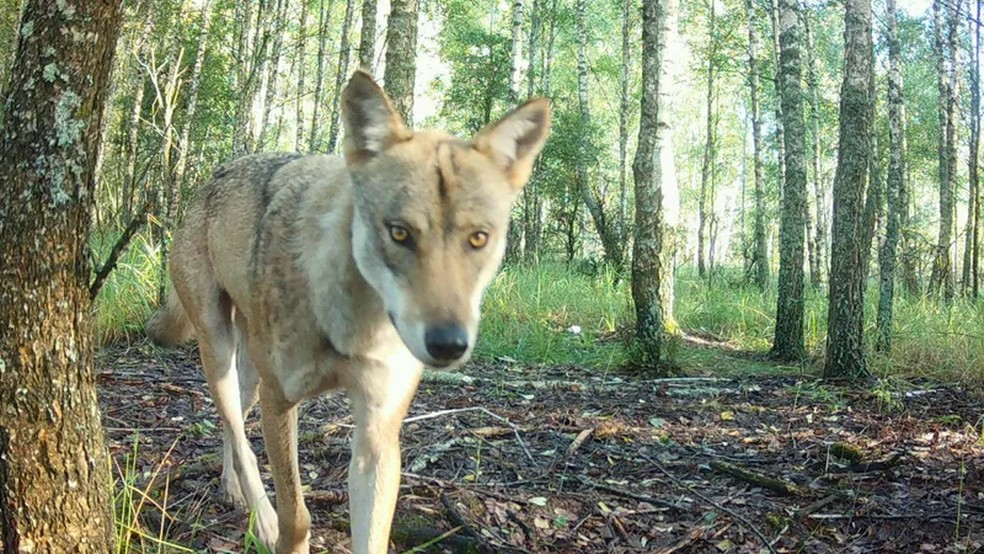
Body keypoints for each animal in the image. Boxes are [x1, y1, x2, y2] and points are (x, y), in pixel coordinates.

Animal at [145, 70, 550, 554]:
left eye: (478, 238)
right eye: (400, 233)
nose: (448, 344)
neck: (357, 326)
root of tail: (211, 178)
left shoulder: (377, 433)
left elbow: (371, 536)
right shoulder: (280, 402)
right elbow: (297, 517)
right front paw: (281, 529)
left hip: (250, 371)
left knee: (234, 425)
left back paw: (231, 489)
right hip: (220, 349)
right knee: (236, 431)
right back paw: (261, 519)